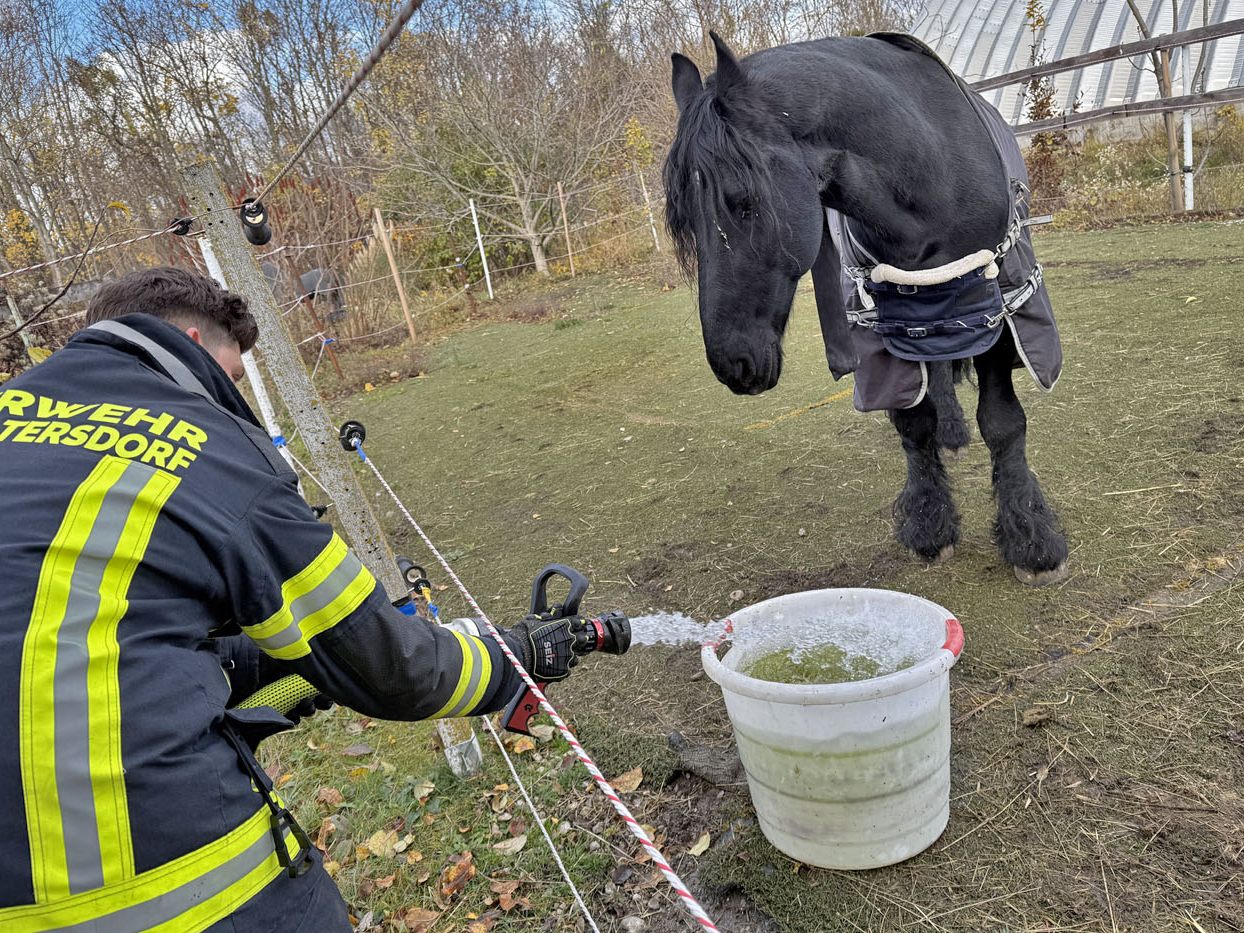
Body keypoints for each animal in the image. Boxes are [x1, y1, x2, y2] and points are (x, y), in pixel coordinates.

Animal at [663, 32, 1069, 585]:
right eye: (683, 221)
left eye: (743, 202)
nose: (734, 365)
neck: (934, 174)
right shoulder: (886, 328)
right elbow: (913, 424)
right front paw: (929, 526)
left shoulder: (997, 313)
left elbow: (1003, 424)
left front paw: (1031, 541)